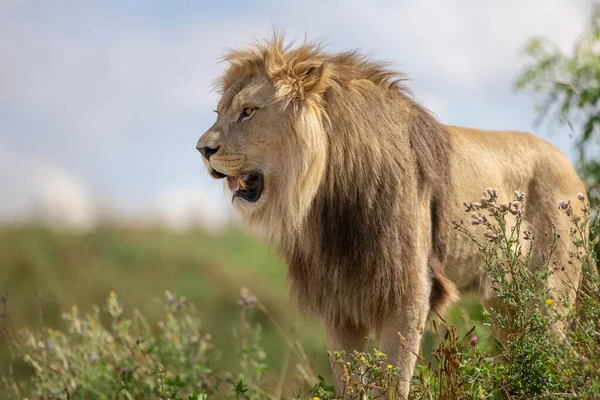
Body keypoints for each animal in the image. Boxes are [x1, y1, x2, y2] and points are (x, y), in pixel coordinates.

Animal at [196, 36, 584, 398]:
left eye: (249, 111)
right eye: (218, 112)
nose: (202, 149)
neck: (326, 198)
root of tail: (572, 170)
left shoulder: (409, 290)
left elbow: (392, 380)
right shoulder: (337, 301)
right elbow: (347, 381)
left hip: (549, 296)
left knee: (560, 359)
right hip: (506, 305)